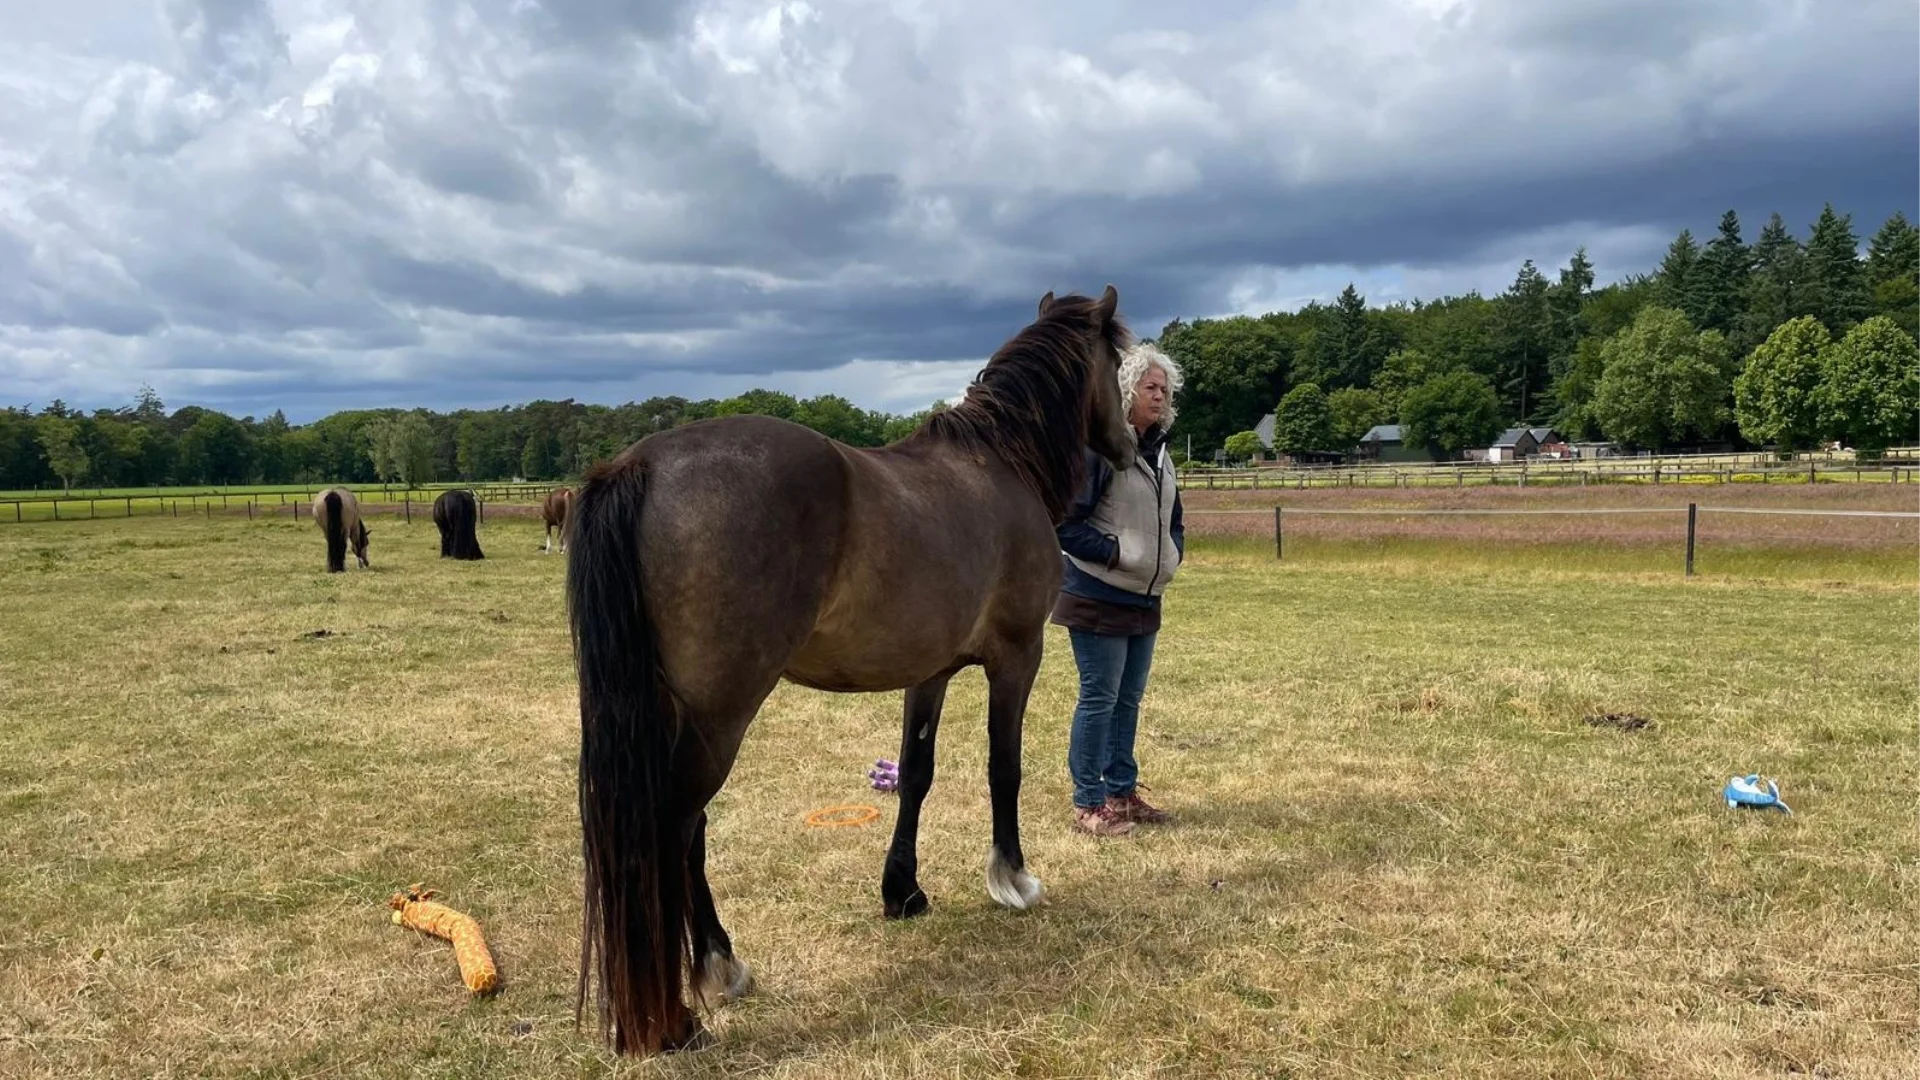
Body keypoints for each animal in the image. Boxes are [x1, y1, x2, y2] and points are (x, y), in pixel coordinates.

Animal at [564, 285, 1137, 1056]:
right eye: (1118, 360)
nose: (1137, 444)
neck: (998, 465)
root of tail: (641, 465)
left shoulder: (931, 671)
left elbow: (916, 775)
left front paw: (904, 893)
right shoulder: (1018, 658)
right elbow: (1004, 767)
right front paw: (1012, 879)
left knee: (680, 827)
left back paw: (710, 972)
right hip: (719, 716)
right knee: (676, 824)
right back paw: (687, 1003)